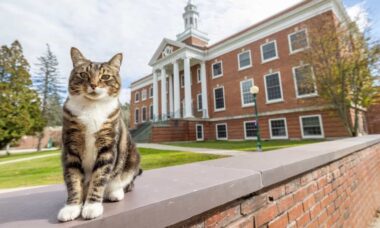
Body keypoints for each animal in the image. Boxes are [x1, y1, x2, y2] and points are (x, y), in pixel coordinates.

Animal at [55, 47, 140, 222]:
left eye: (105, 76)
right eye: (83, 74)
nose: (93, 85)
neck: (92, 107)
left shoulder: (107, 146)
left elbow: (99, 177)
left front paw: (92, 206)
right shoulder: (71, 148)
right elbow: (73, 179)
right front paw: (71, 207)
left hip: (132, 158)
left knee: (125, 182)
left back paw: (115, 192)